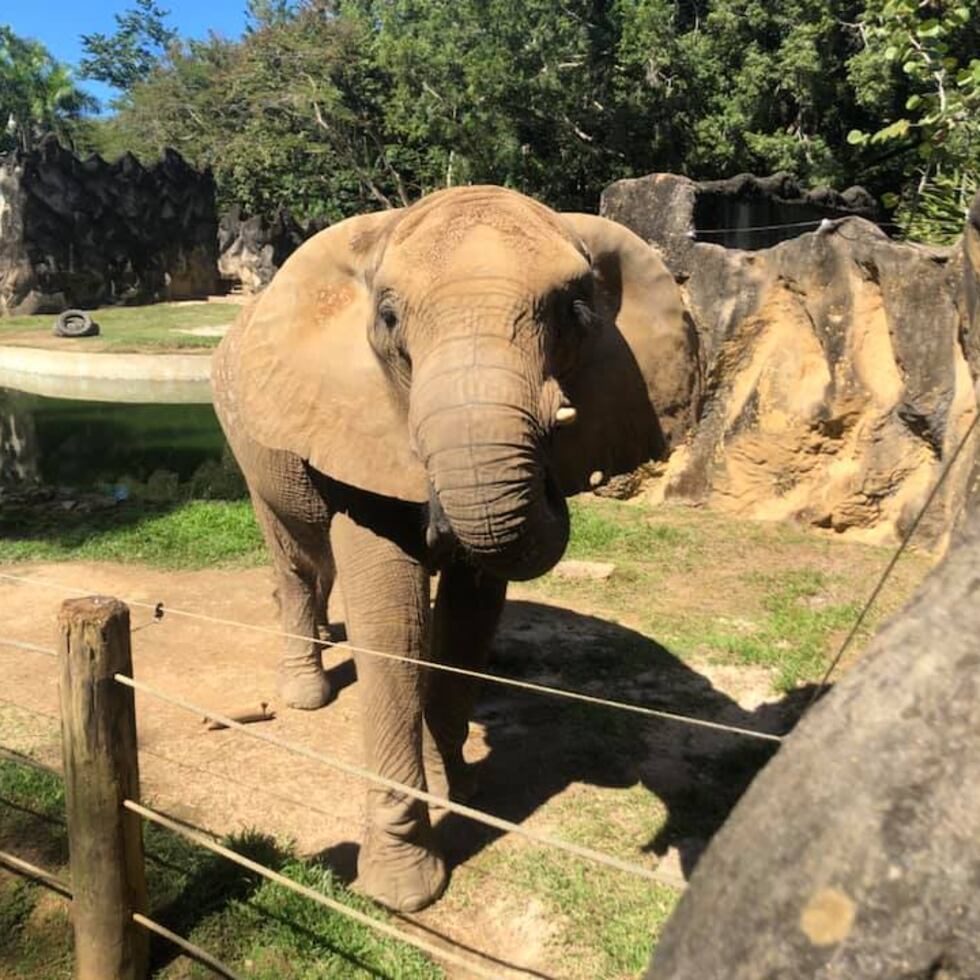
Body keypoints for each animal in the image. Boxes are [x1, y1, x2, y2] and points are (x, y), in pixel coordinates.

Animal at [211, 186, 700, 912]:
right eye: (388, 317)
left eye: (575, 312)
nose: (436, 515)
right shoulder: (358, 418)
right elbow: (395, 627)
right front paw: (405, 891)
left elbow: (466, 620)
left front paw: (463, 788)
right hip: (247, 432)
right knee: (295, 554)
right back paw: (306, 691)